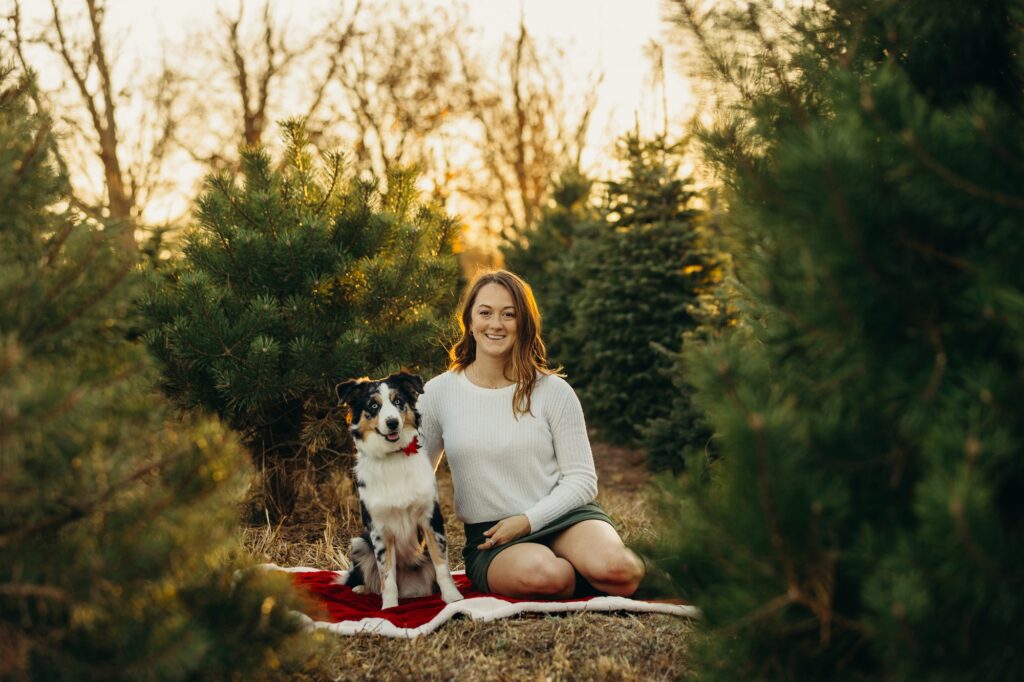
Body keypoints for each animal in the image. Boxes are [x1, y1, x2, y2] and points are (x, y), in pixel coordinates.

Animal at [335, 368, 464, 606]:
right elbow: (386, 576)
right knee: (371, 580)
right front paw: (390, 607)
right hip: (359, 543)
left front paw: (453, 598)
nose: (393, 422)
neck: (392, 456)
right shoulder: (379, 529)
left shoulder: (430, 518)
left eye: (398, 401)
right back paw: (361, 588)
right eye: (373, 406)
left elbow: (441, 565)